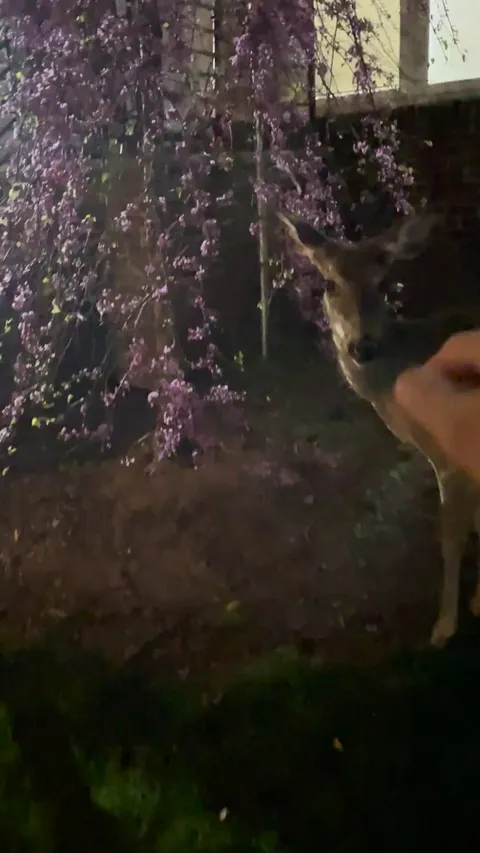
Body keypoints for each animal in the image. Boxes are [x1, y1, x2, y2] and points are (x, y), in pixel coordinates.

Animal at [278, 209, 480, 648]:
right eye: (329, 283)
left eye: (384, 282)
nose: (363, 346)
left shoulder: (449, 453)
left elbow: (452, 534)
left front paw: (445, 625)